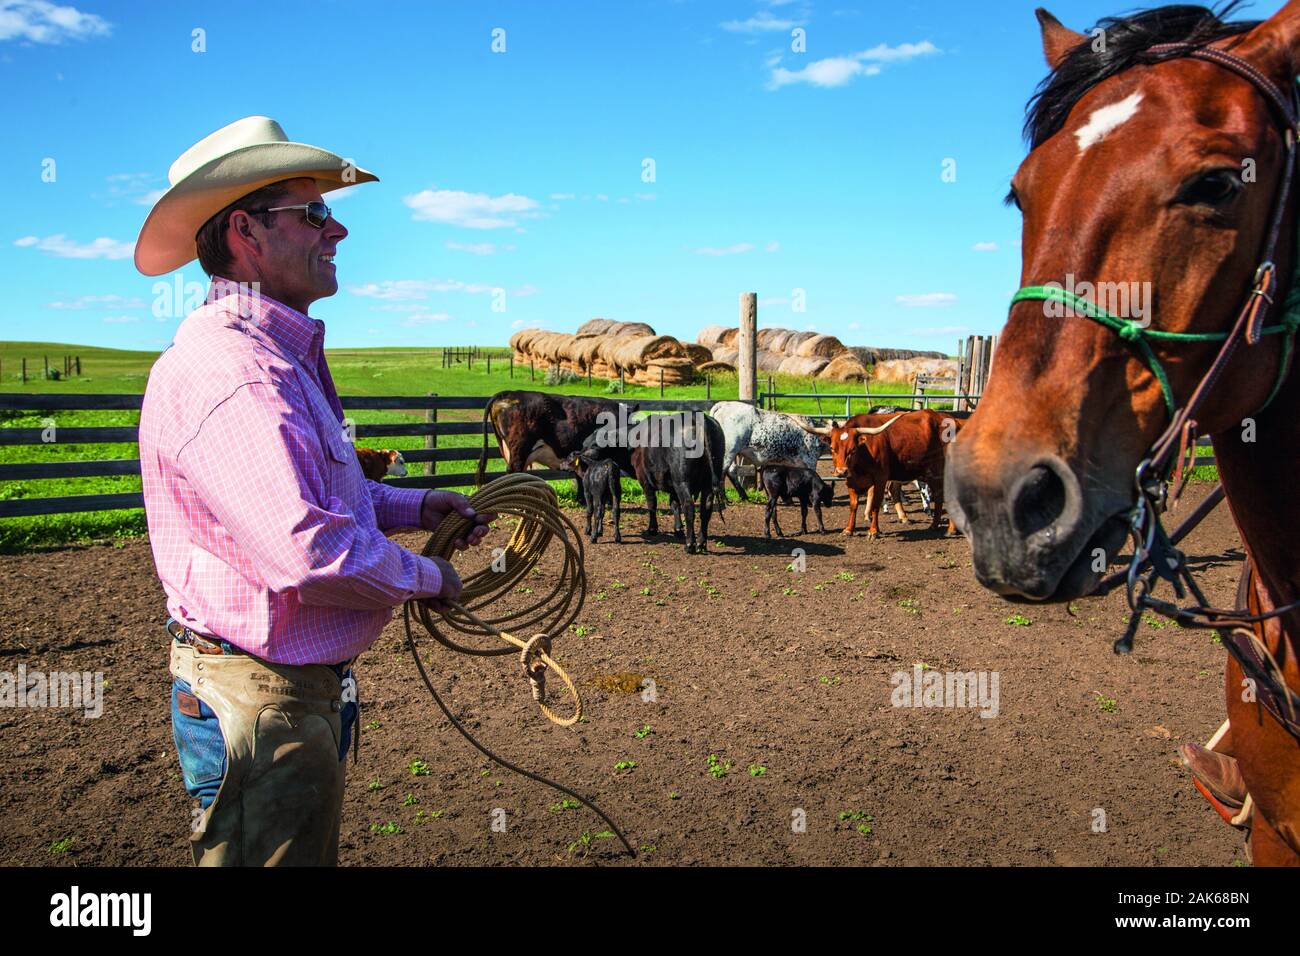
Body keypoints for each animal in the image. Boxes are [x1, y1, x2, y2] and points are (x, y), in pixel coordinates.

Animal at [800, 408, 967, 538]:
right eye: (833, 448)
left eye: (853, 449)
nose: (841, 471)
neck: (864, 453)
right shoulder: (851, 480)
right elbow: (853, 505)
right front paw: (849, 529)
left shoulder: (880, 479)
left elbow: (875, 504)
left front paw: (874, 531)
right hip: (932, 474)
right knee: (938, 496)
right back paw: (934, 525)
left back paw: (951, 529)